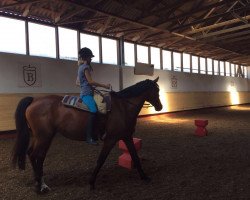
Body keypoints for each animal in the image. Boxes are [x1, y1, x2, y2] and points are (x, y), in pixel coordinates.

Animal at [12, 77, 162, 194]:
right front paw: (91, 183)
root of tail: (34, 100)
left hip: (42, 137)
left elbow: (135, 156)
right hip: (44, 137)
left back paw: (40, 183)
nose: (160, 107)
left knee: (35, 155)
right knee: (35, 155)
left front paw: (144, 177)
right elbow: (101, 160)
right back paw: (40, 187)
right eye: (156, 91)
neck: (123, 107)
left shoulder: (126, 136)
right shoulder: (111, 139)